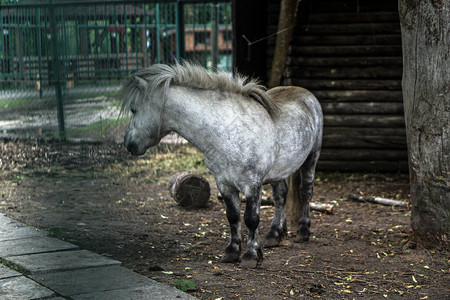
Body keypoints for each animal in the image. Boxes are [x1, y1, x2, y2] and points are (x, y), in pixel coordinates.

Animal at [119, 62, 322, 268]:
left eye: (134, 109)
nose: (128, 144)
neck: (228, 133)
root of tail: (306, 94)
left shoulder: (252, 185)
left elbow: (251, 219)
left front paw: (251, 255)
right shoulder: (224, 184)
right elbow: (233, 216)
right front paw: (232, 252)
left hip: (311, 158)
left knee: (306, 192)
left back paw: (303, 232)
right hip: (278, 172)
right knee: (280, 196)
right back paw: (274, 235)